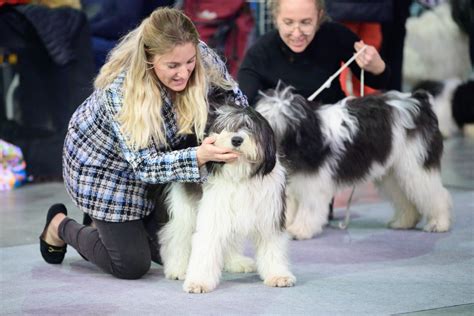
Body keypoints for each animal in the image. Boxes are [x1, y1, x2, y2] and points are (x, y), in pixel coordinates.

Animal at [157, 103, 294, 294]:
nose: (236, 140)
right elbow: (206, 248)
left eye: (249, 126)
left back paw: (236, 262)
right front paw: (199, 281)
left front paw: (278, 275)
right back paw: (177, 269)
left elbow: (272, 248)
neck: (240, 174)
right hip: (184, 209)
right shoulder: (213, 214)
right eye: (226, 127)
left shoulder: (269, 216)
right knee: (175, 238)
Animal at [256, 84, 452, 239]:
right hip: (393, 173)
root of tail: (418, 101)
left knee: (436, 194)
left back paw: (439, 223)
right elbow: (291, 207)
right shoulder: (295, 186)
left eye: (280, 120)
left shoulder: (313, 186)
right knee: (405, 198)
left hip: (416, 165)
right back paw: (404, 221)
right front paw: (286, 227)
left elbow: (309, 208)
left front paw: (299, 230)